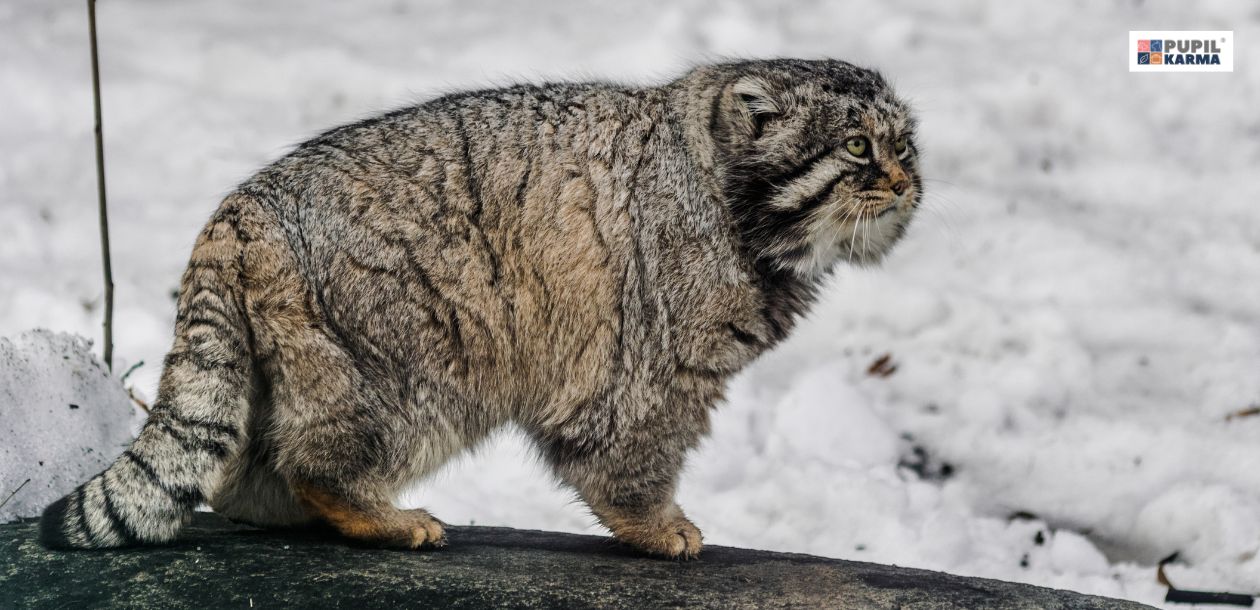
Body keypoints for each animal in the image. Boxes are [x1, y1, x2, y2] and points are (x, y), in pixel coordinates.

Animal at [44, 58, 922, 557]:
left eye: (905, 143)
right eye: (856, 146)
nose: (910, 180)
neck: (721, 189)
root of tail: (241, 208)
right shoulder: (654, 367)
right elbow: (631, 456)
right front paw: (657, 525)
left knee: (237, 479)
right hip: (409, 360)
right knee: (318, 460)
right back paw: (379, 516)